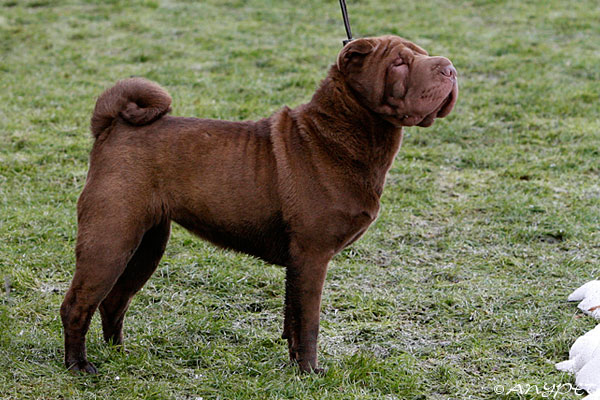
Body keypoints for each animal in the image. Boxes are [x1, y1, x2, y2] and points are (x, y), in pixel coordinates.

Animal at [60, 35, 458, 374]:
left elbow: (293, 319)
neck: (340, 133)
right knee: (77, 305)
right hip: (110, 241)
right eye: (399, 63)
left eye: (422, 54)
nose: (449, 67)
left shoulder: (300, 263)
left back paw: (120, 354)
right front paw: (310, 372)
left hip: (147, 244)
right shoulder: (312, 256)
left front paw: (296, 364)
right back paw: (78, 366)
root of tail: (111, 126)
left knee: (114, 300)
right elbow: (309, 322)